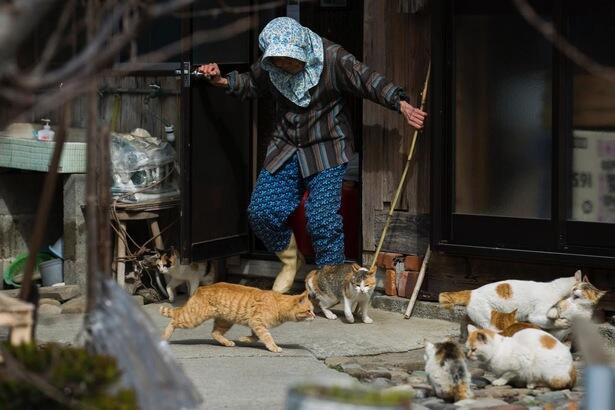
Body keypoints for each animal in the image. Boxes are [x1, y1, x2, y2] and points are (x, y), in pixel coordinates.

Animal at [159, 282, 316, 352]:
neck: (278, 304)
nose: (315, 317)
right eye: (309, 311)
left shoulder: (255, 324)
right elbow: (266, 337)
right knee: (173, 321)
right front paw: (273, 347)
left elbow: (256, 337)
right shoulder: (257, 322)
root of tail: (200, 288)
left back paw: (227, 342)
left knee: (214, 333)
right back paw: (164, 337)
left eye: (313, 310)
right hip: (193, 319)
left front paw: (244, 339)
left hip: (225, 321)